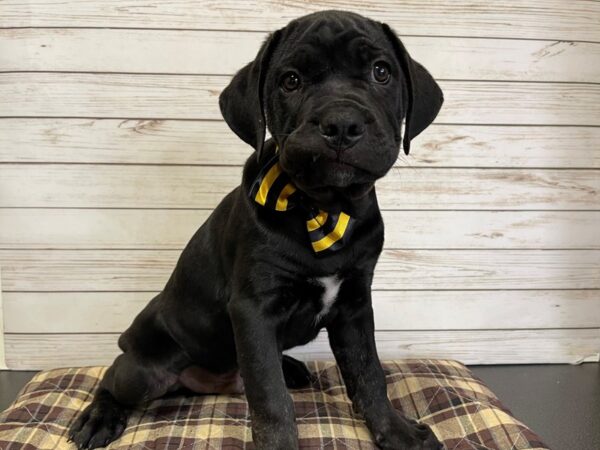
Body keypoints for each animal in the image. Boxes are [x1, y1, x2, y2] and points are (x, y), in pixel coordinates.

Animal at [69, 10, 446, 450]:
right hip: (141, 371)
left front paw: (397, 431)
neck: (324, 207)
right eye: (291, 81)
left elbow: (369, 374)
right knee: (113, 378)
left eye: (381, 72)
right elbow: (270, 398)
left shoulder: (354, 304)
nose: (341, 123)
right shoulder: (253, 312)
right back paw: (98, 418)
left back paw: (292, 367)